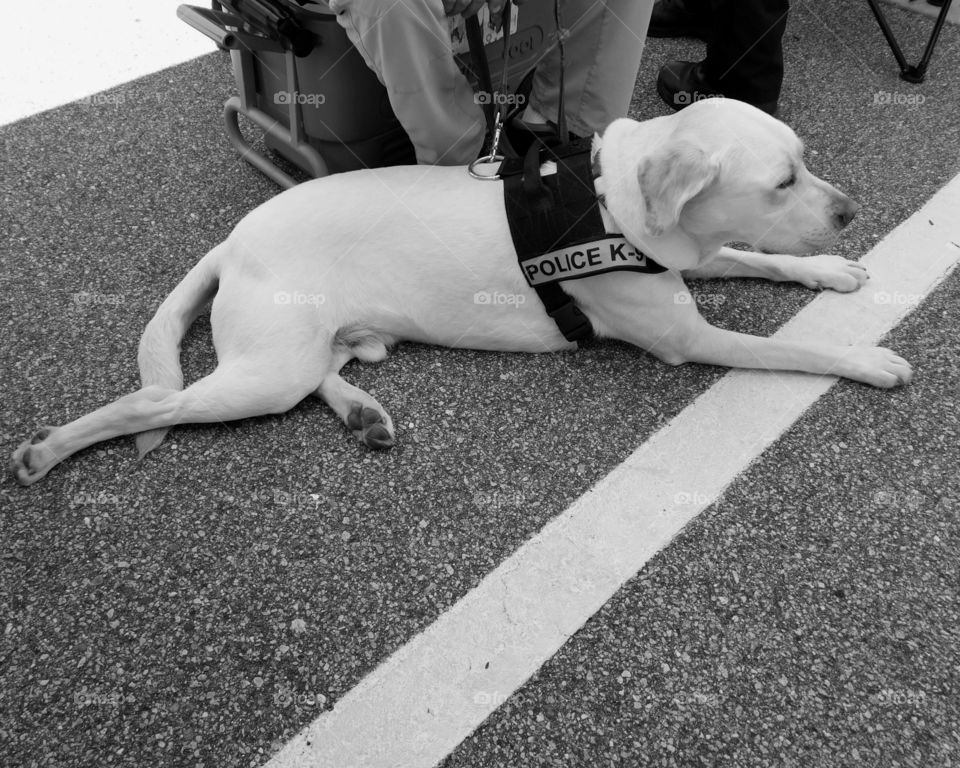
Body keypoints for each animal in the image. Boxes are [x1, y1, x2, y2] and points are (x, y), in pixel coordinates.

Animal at [7, 97, 912, 486]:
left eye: (804, 160)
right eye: (781, 181)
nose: (851, 212)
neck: (610, 202)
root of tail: (233, 240)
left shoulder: (688, 257)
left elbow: (765, 262)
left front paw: (833, 271)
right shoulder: (687, 340)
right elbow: (795, 347)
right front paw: (867, 357)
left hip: (306, 352)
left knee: (326, 373)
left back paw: (364, 414)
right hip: (264, 371)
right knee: (151, 404)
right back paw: (47, 451)